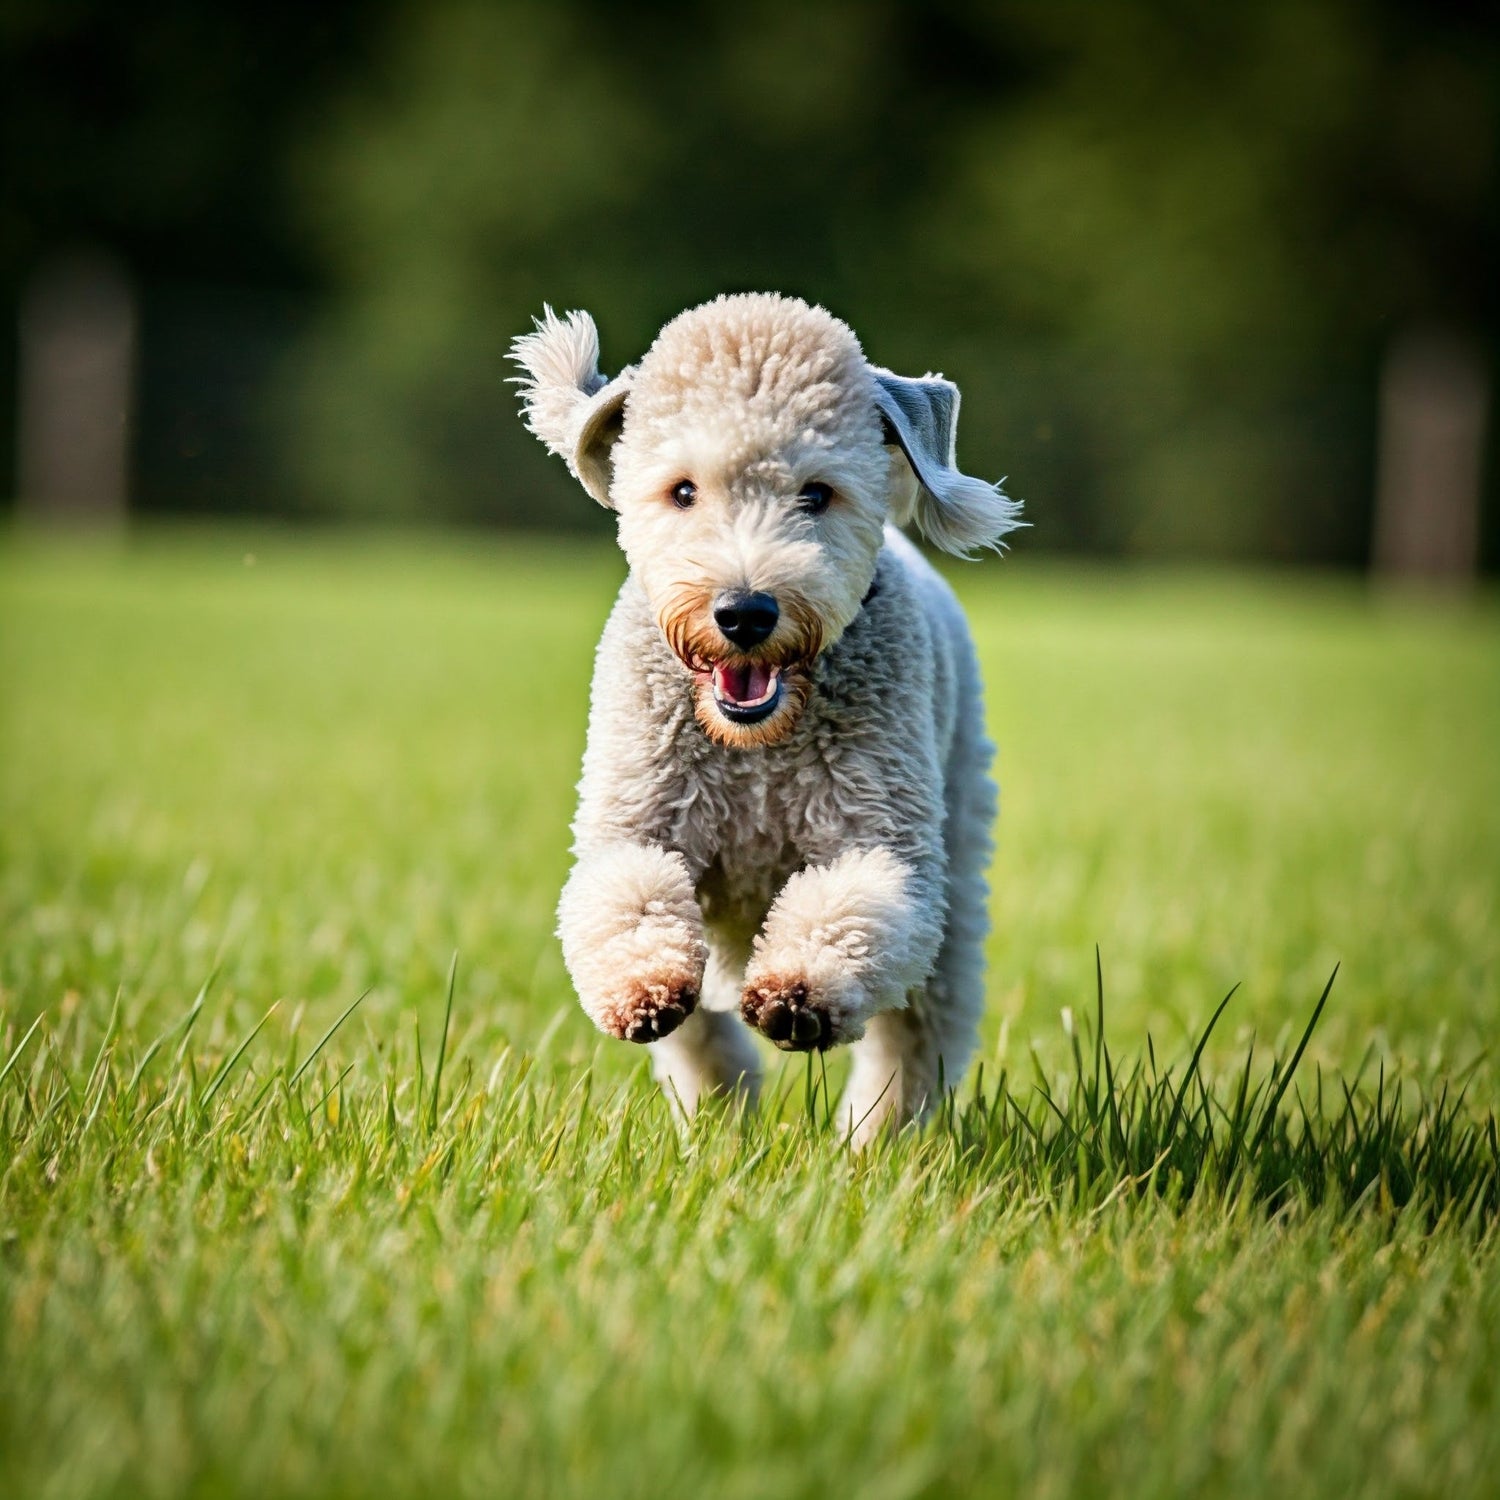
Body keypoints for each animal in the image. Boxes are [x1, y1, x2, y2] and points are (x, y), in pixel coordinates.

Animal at [513, 286, 1020, 1140]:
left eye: (816, 493)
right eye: (682, 490)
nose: (744, 612)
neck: (755, 751)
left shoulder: (881, 840)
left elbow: (850, 903)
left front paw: (796, 998)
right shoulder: (636, 819)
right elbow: (628, 895)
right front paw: (643, 990)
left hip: (958, 844)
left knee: (920, 1026)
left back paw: (878, 1138)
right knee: (702, 1031)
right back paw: (722, 1116)